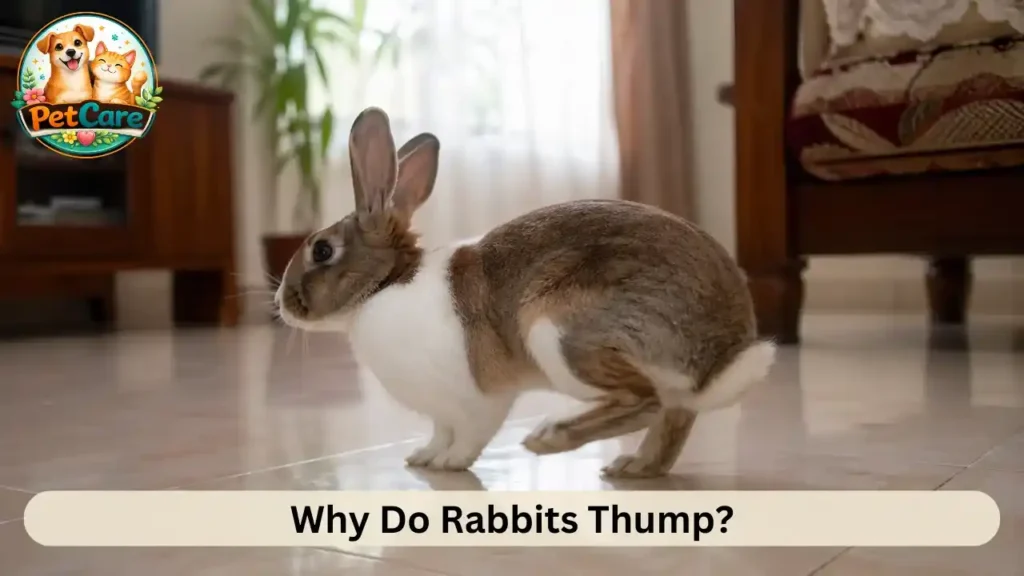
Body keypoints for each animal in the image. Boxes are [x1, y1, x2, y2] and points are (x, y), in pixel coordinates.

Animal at [275, 107, 776, 478]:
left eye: (322, 250)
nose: (281, 303)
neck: (386, 284)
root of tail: (723, 351)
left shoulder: (478, 400)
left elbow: (468, 436)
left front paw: (449, 463)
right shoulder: (441, 412)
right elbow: (440, 432)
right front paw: (423, 458)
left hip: (558, 332)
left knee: (641, 401)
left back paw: (549, 437)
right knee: (672, 418)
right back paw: (632, 466)